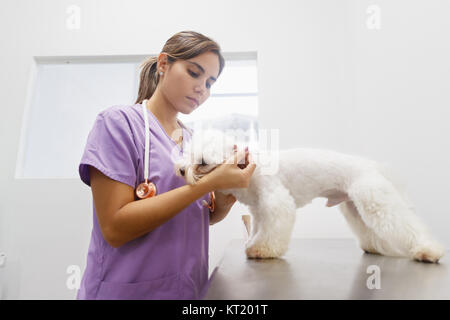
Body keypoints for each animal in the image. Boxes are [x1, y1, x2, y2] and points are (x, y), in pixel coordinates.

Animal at [174, 129, 444, 264]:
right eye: (187, 153)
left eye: (202, 163)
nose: (180, 169)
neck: (250, 165)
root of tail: (371, 165)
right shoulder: (259, 210)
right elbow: (259, 228)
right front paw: (253, 244)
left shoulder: (276, 202)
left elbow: (272, 230)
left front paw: (262, 250)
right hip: (354, 207)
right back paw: (374, 247)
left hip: (375, 201)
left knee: (406, 225)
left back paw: (428, 250)